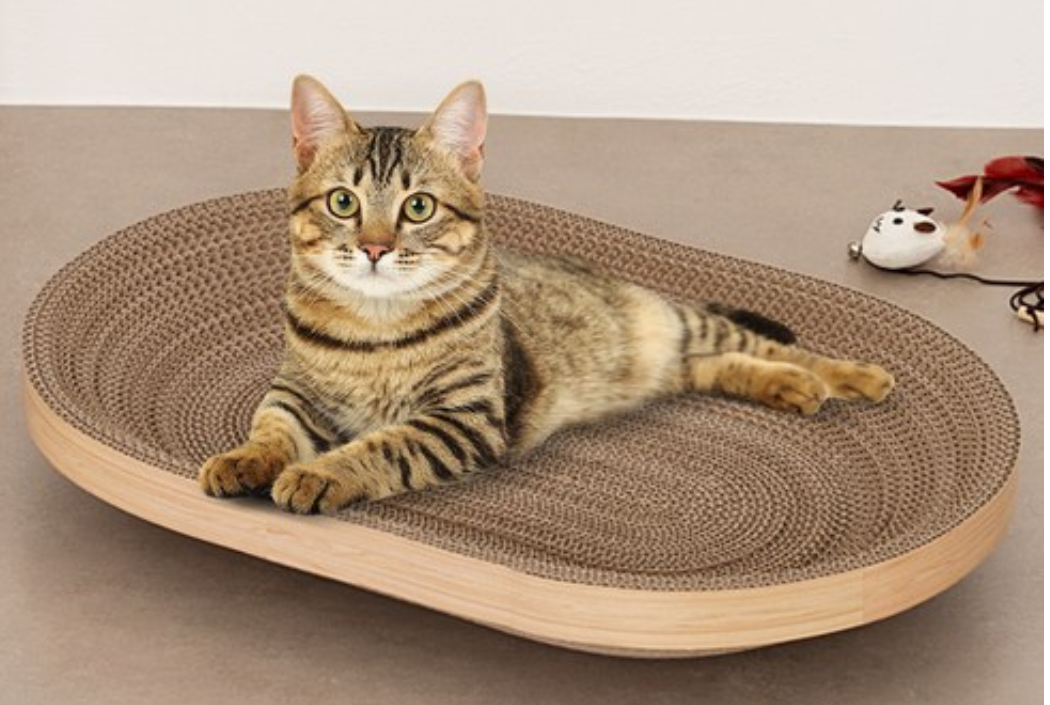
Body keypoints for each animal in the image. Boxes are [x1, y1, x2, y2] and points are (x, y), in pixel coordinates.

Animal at [199, 75, 894, 514]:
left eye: (418, 207)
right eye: (344, 202)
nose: (373, 248)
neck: (378, 325)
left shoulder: (463, 418)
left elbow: (381, 445)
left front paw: (319, 473)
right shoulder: (297, 391)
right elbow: (270, 427)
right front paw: (245, 459)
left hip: (683, 324)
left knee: (769, 348)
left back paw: (848, 376)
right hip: (668, 366)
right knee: (719, 365)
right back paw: (790, 388)